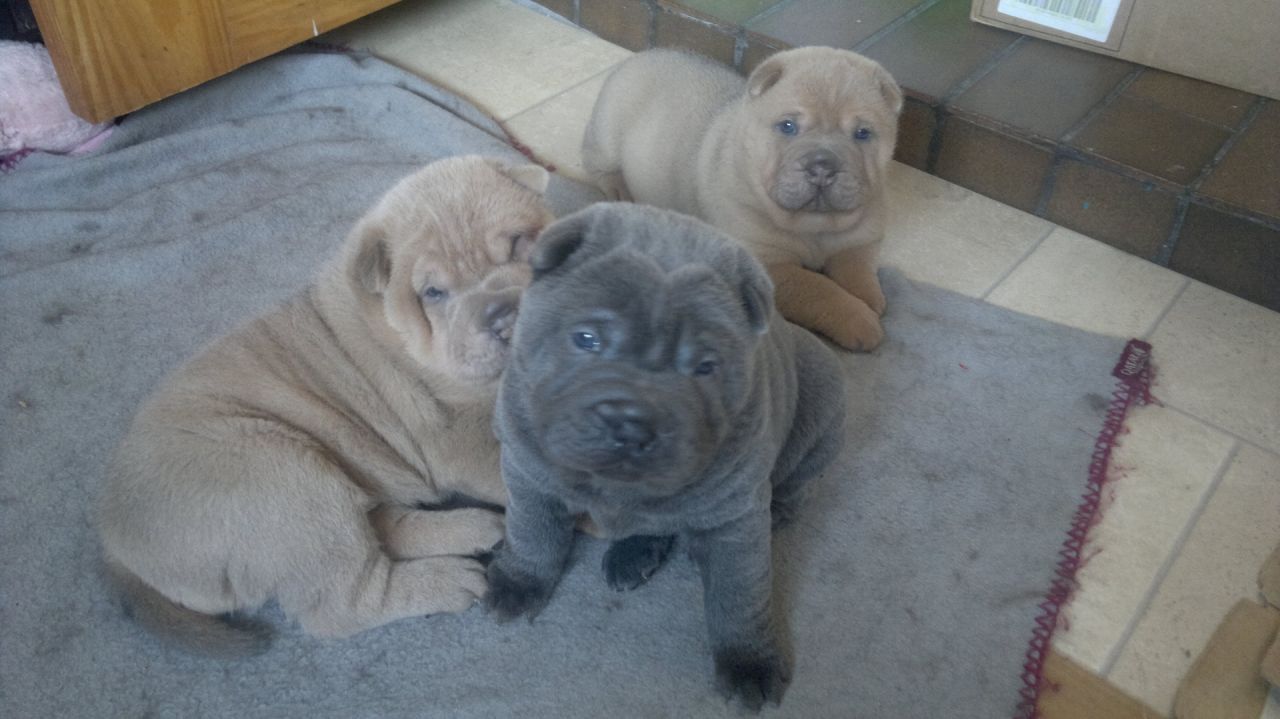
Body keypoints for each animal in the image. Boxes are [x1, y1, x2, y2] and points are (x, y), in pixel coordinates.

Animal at [97, 156, 558, 655]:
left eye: (519, 242)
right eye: (433, 293)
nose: (504, 316)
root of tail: (116, 548)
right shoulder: (457, 434)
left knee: (380, 528)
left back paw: (473, 528)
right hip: (285, 476)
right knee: (346, 600)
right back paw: (450, 578)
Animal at [483, 199, 844, 706]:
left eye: (705, 366)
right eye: (587, 339)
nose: (631, 424)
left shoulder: (735, 519)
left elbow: (740, 595)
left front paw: (749, 664)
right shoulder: (528, 470)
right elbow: (533, 532)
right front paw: (517, 583)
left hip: (823, 397)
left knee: (797, 482)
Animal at [586, 47, 906, 350]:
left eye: (863, 133)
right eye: (788, 126)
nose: (822, 166)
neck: (812, 223)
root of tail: (644, 55)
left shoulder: (861, 238)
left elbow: (856, 268)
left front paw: (870, 299)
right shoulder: (768, 267)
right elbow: (818, 288)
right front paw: (860, 320)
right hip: (607, 135)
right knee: (599, 165)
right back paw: (618, 189)